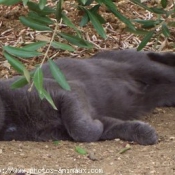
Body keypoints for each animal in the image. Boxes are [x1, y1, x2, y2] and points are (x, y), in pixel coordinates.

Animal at [0, 49, 175, 145]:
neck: (13, 120)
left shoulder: (67, 90)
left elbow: (80, 128)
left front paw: (94, 127)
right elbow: (108, 127)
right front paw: (145, 132)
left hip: (145, 68)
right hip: (157, 93)